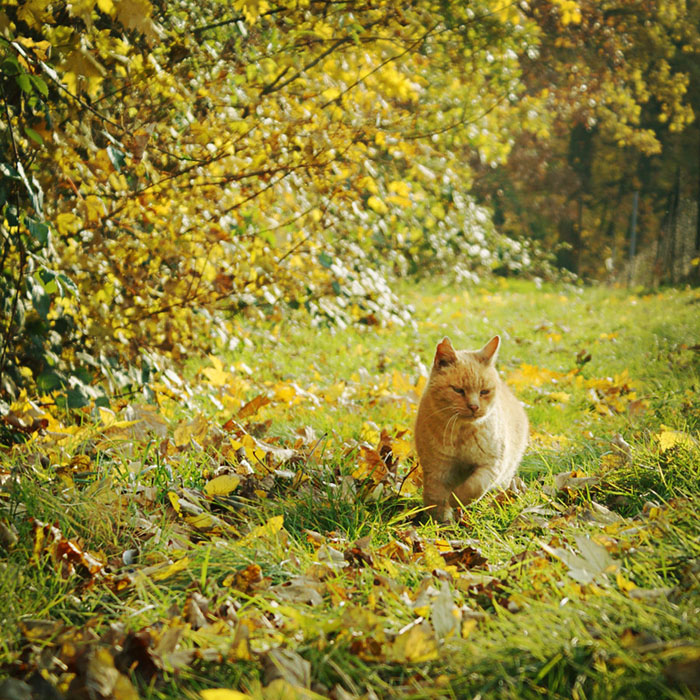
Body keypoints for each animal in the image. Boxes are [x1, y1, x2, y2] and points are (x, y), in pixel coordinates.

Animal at [412, 334, 528, 520]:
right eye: (458, 390)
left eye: (484, 392)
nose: (474, 406)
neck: (461, 434)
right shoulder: (436, 469)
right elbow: (435, 497)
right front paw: (440, 521)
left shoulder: (491, 465)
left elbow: (473, 487)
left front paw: (456, 500)